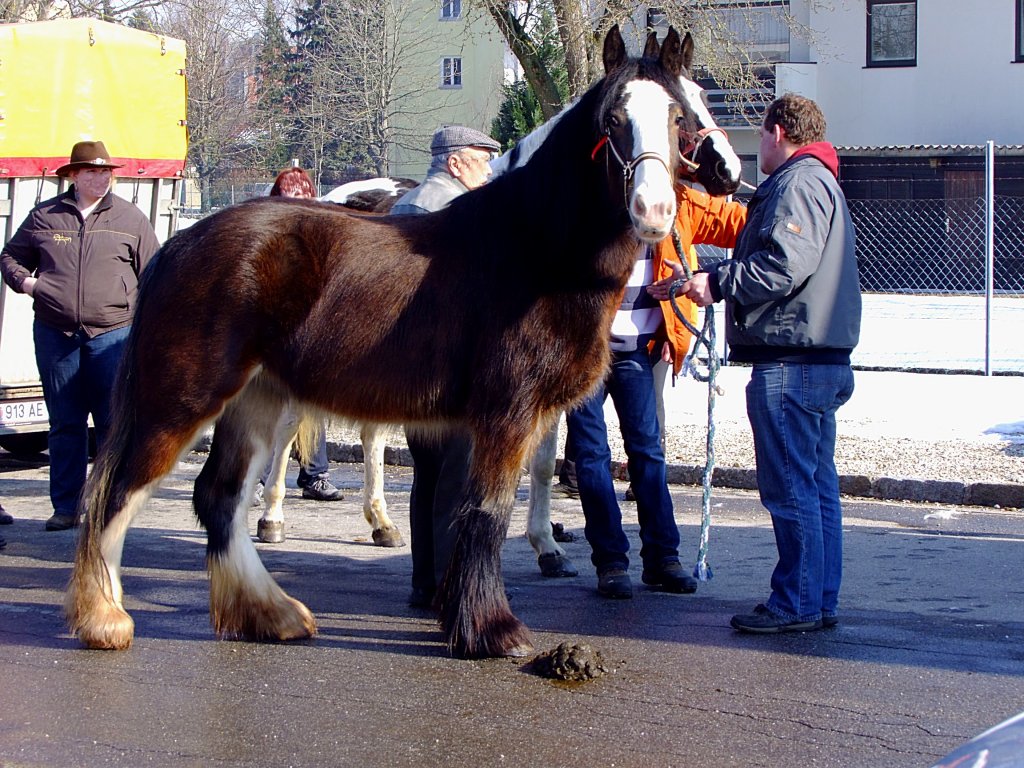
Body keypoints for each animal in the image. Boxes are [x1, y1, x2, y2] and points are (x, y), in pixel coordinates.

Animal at [68, 27, 716, 659]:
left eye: (679, 116)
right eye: (613, 120)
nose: (655, 210)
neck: (534, 252)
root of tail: (178, 244)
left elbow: (474, 509)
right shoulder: (506, 413)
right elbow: (487, 513)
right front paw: (492, 631)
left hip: (257, 400)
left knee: (219, 497)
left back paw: (271, 614)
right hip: (180, 401)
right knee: (116, 491)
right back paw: (104, 619)